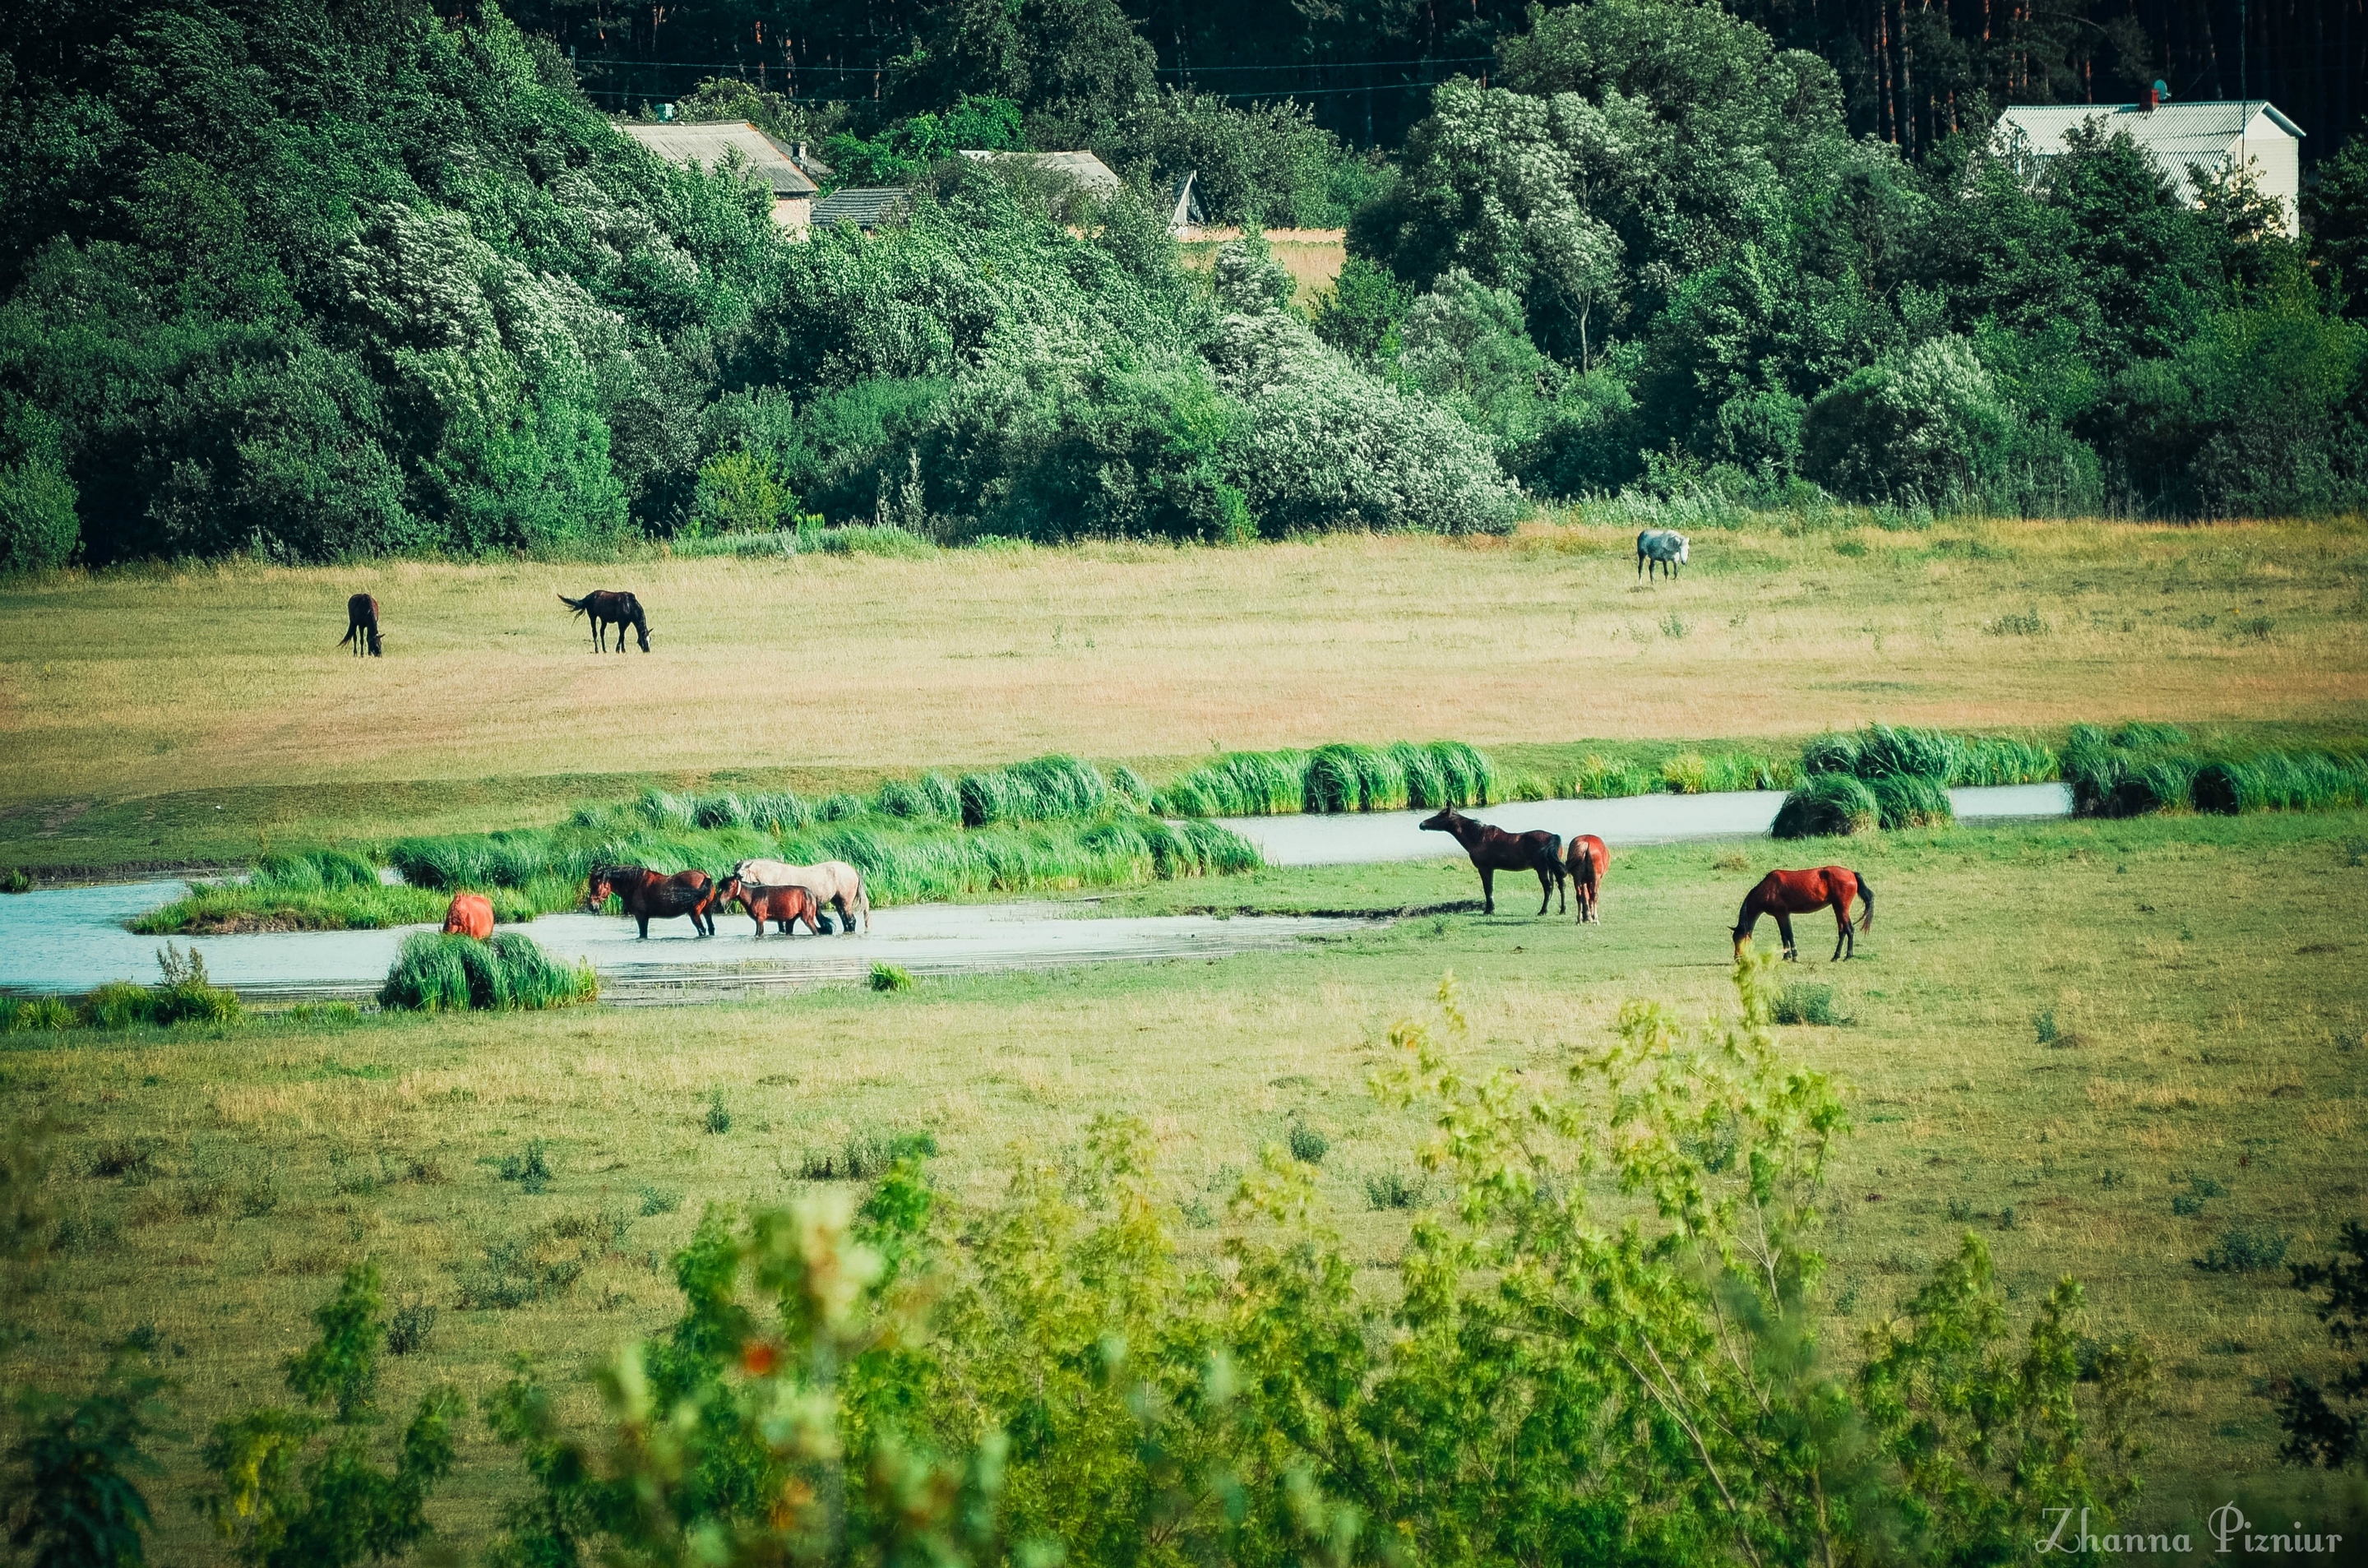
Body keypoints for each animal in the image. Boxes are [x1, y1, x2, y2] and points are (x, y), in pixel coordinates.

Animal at [580, 867, 710, 937]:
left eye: (596, 886)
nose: (592, 906)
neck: (635, 883)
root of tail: (705, 876)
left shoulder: (641, 917)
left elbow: (643, 934)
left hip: (694, 914)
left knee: (702, 930)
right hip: (707, 912)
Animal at [710, 876, 824, 937]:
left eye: (730, 886)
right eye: (721, 886)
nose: (719, 902)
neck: (753, 895)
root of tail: (811, 894)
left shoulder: (760, 919)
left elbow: (758, 933)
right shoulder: (760, 920)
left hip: (807, 918)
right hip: (791, 919)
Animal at [729, 862, 871, 932]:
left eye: (741, 875)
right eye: (734, 873)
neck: (775, 875)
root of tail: (853, 871)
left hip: (846, 903)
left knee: (851, 921)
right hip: (838, 903)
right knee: (845, 921)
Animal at [1411, 810, 1562, 923]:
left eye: (1440, 815)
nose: (1422, 824)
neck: (1477, 837)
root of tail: (1554, 837)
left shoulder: (1484, 868)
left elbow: (1487, 889)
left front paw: (1489, 910)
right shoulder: (1490, 869)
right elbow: (1490, 888)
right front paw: (1491, 909)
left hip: (1542, 869)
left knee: (1548, 887)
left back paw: (1543, 911)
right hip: (1551, 869)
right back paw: (1561, 909)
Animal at [1733, 867, 1875, 966]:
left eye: (1739, 939)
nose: (1737, 959)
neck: (1768, 888)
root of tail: (1852, 873)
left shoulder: (1781, 914)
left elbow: (1788, 934)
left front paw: (1792, 956)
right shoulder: (1783, 915)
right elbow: (1785, 935)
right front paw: (1788, 956)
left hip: (1842, 908)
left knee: (1849, 930)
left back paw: (1848, 956)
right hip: (1838, 908)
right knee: (1842, 931)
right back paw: (1836, 956)